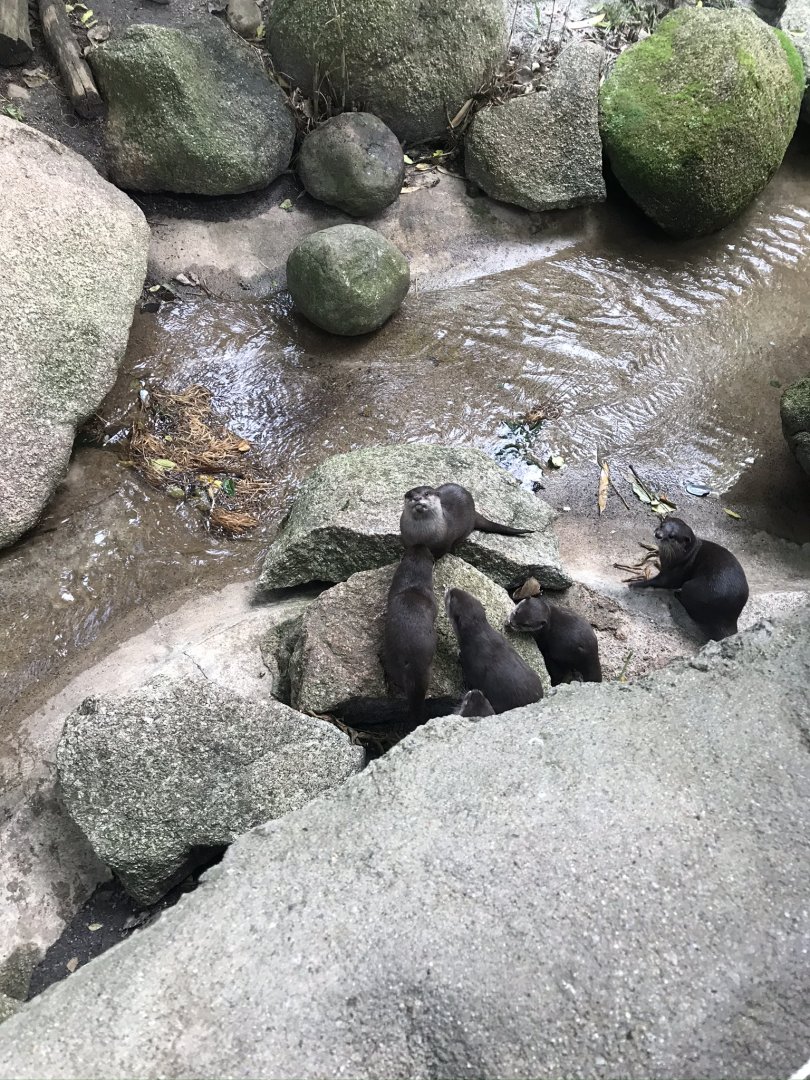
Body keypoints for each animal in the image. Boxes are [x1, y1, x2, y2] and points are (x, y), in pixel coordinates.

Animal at [400, 484, 533, 558]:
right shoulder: (407, 539)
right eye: (410, 495)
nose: (417, 498)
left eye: (426, 493)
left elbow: (438, 555)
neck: (422, 536)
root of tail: (474, 512)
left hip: (464, 531)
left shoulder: (444, 543)